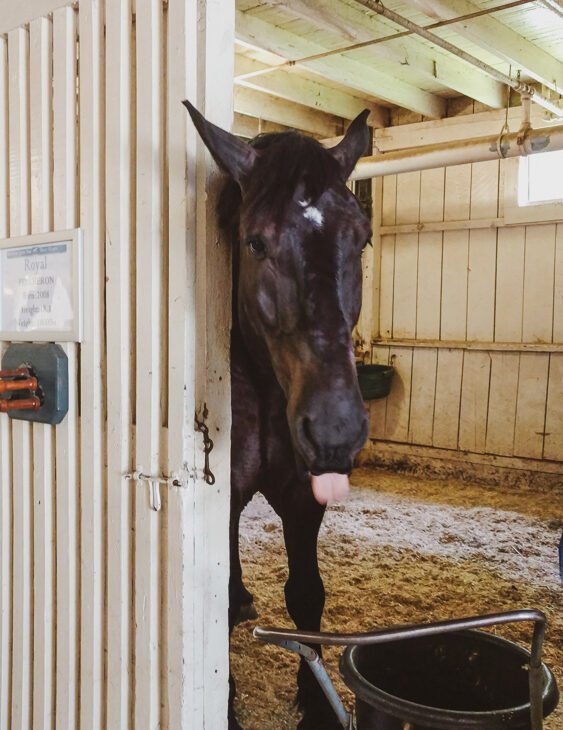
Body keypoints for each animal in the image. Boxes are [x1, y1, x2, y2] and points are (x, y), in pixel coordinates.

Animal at [183, 99, 372, 724]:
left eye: (361, 240)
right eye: (255, 243)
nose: (336, 430)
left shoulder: (302, 496)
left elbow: (307, 594)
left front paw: (315, 701)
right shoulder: (225, 495)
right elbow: (216, 597)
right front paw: (225, 706)